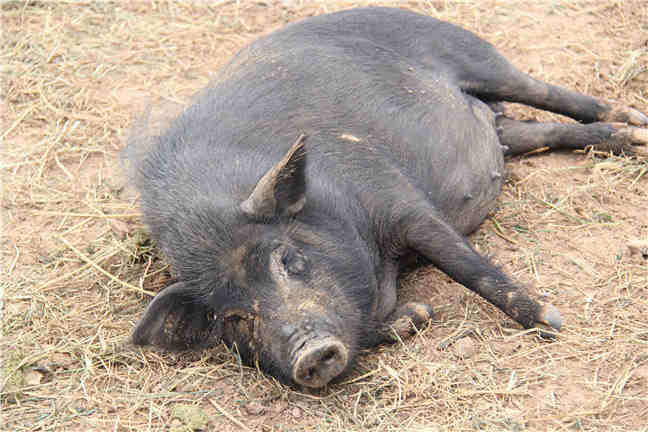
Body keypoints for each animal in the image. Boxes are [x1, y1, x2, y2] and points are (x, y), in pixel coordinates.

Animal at [123, 7, 648, 388]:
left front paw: (549, 322)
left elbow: (465, 264)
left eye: (288, 259)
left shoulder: (395, 196)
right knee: (534, 130)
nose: (309, 352)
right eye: (234, 317)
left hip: (470, 52)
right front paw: (418, 316)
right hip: (501, 130)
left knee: (544, 91)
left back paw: (635, 123)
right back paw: (630, 138)